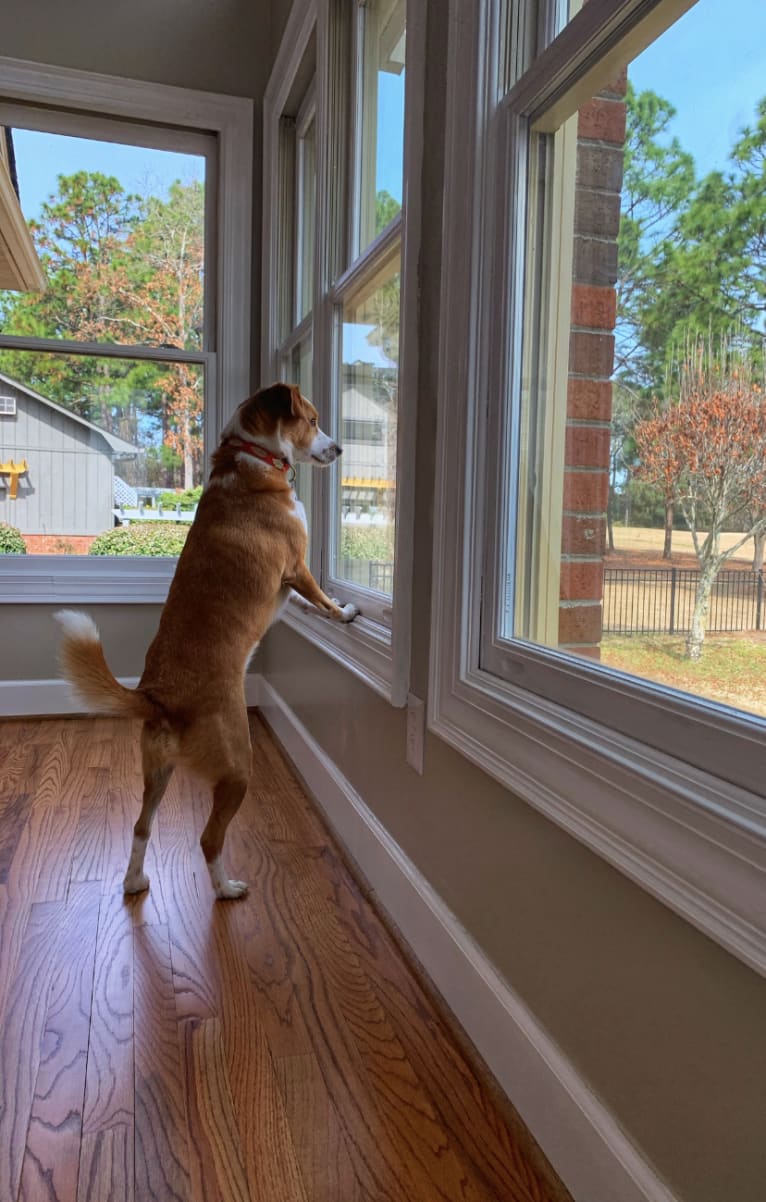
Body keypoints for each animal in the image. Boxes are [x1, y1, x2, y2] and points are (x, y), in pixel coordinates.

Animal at [53, 384, 358, 903]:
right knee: (208, 839)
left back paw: (134, 881)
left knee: (140, 828)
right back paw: (226, 889)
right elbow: (320, 598)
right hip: (237, 768)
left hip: (157, 773)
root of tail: (157, 697)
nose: (338, 449)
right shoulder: (296, 566)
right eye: (313, 420)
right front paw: (344, 612)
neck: (251, 456)